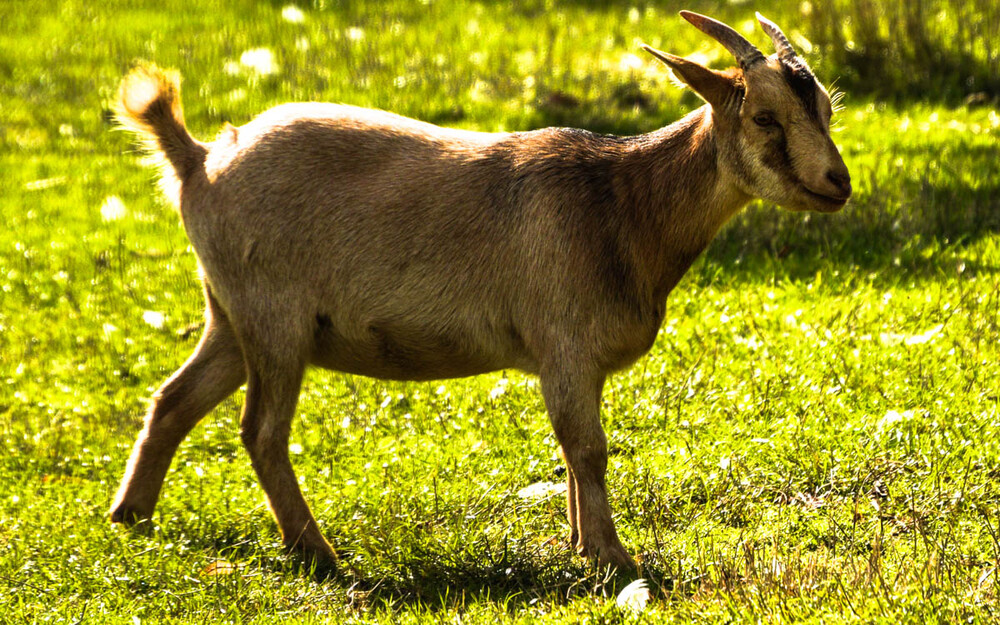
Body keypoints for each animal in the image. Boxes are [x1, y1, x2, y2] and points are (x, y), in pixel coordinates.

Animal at [111, 13, 852, 572]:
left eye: (825, 107)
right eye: (764, 117)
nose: (836, 183)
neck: (623, 202)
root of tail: (200, 159)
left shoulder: (571, 361)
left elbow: (571, 451)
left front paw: (582, 545)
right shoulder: (564, 344)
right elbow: (587, 448)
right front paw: (612, 557)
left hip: (230, 317)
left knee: (173, 400)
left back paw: (132, 518)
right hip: (274, 317)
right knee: (261, 431)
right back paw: (318, 552)